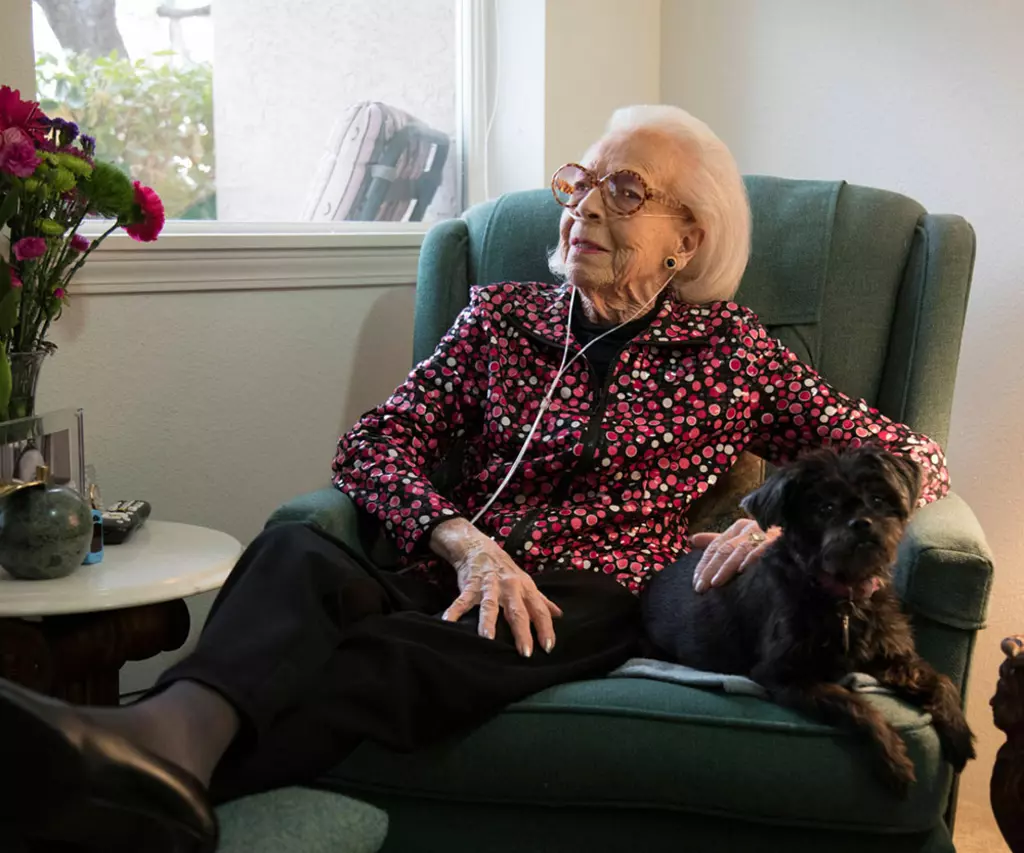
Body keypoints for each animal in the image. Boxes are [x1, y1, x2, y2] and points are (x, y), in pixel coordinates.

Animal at [643, 445, 975, 794]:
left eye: (878, 499)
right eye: (825, 508)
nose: (862, 523)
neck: (845, 596)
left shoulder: (887, 657)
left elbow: (941, 679)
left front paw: (958, 731)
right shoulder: (783, 675)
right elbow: (852, 702)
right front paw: (894, 759)